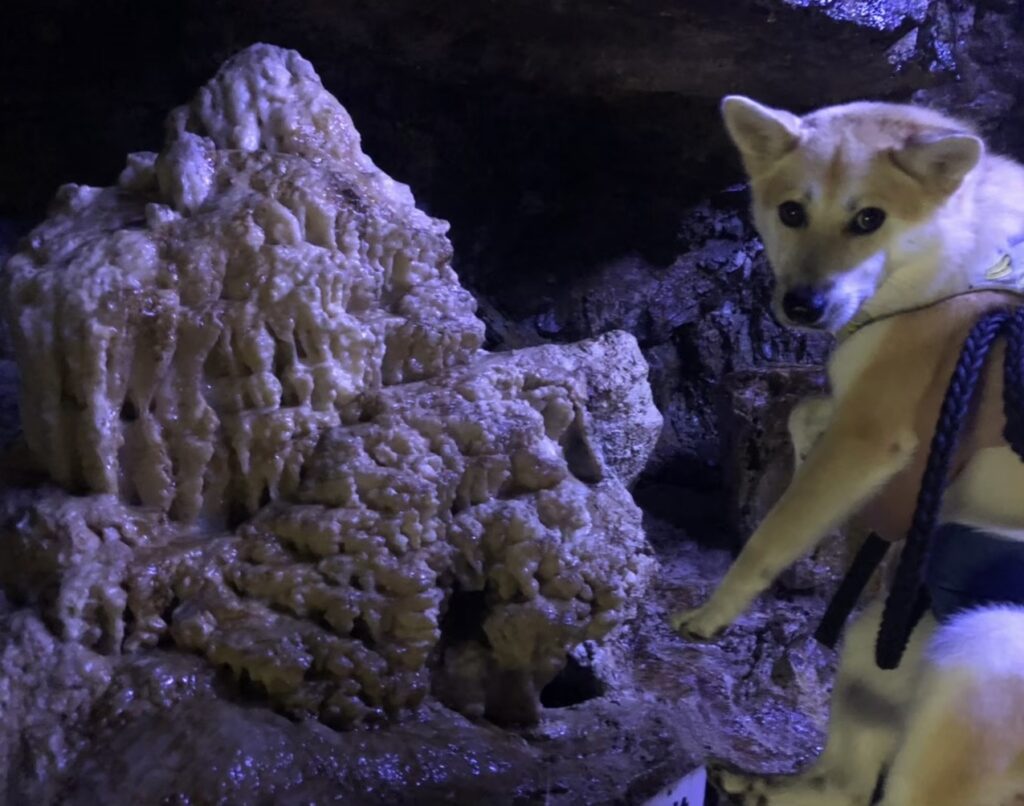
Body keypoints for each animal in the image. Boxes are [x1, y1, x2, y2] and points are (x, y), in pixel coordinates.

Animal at [671, 97, 1024, 802]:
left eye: (869, 219)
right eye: (791, 212)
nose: (802, 306)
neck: (964, 261)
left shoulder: (870, 433)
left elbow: (770, 539)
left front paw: (713, 613)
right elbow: (804, 415)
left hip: (978, 657)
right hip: (881, 642)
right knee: (846, 785)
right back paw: (758, 784)